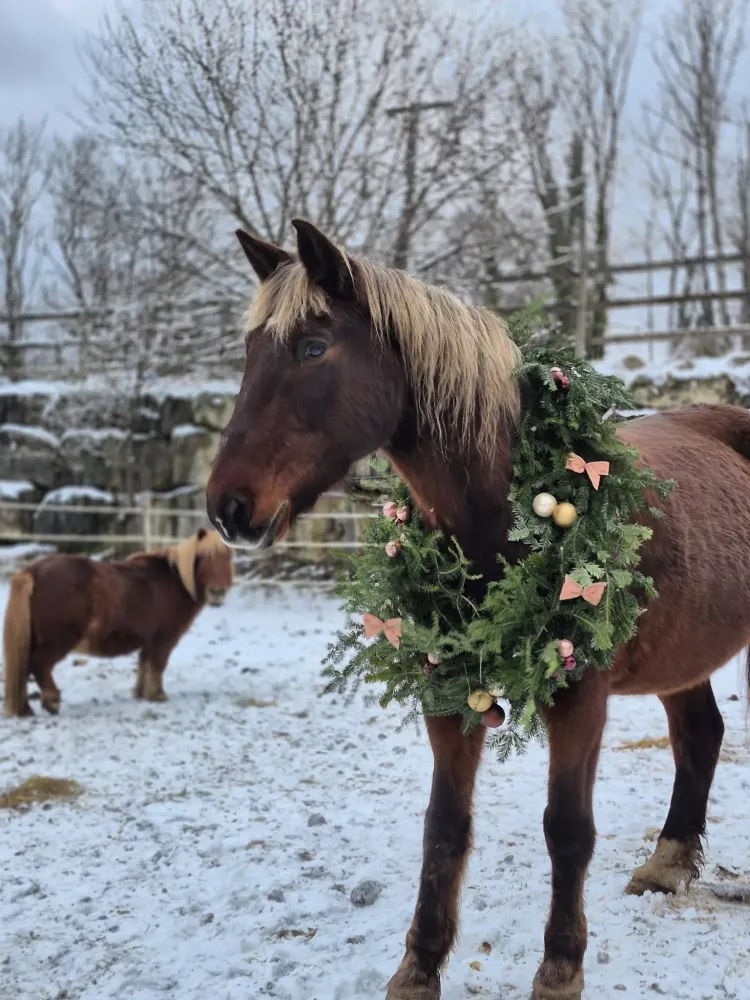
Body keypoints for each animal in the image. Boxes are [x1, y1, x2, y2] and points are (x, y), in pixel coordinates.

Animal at [3, 528, 233, 717]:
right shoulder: (164, 638)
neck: (174, 581)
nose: (217, 592)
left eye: (228, 557)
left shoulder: (149, 640)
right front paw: (157, 695)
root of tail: (32, 571)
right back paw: (51, 702)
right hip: (58, 641)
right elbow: (157, 665)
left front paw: (141, 694)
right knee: (38, 665)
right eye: (203, 556)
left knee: (24, 669)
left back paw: (26, 708)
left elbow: (144, 664)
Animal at [205, 219, 750, 1000]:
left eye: (312, 347)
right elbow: (444, 828)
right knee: (700, 735)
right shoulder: (448, 688)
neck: (510, 506)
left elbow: (567, 828)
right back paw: (667, 862)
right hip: (683, 653)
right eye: (251, 351)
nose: (227, 508)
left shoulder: (580, 698)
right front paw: (419, 965)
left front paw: (560, 966)